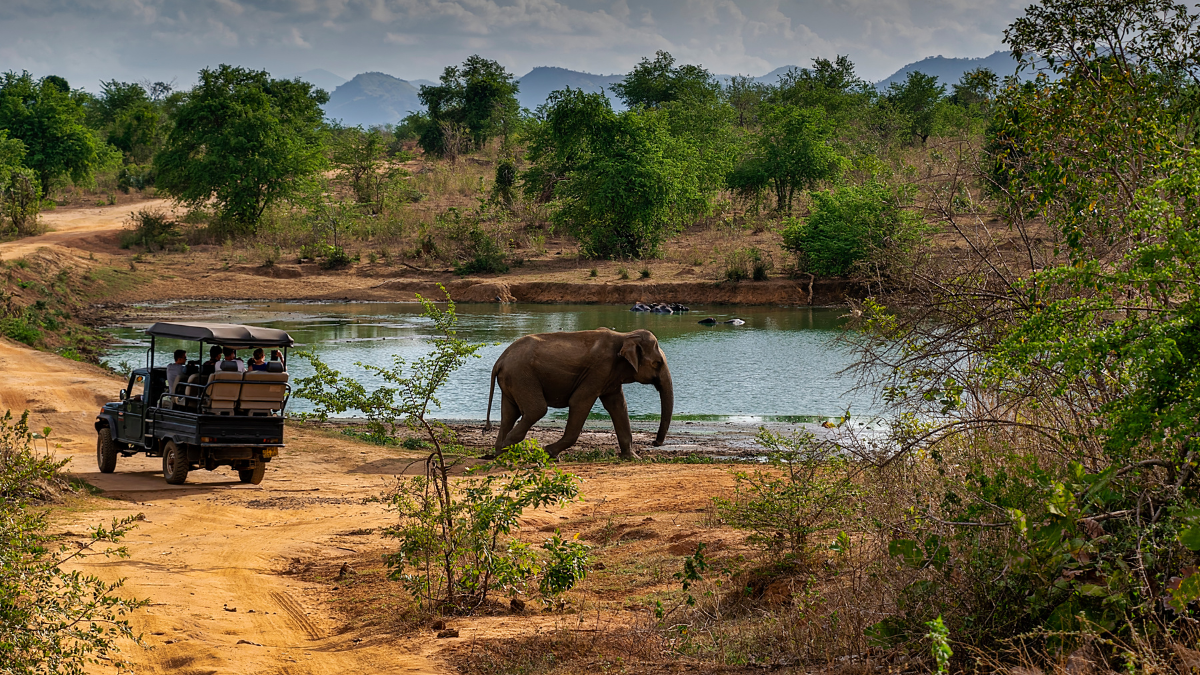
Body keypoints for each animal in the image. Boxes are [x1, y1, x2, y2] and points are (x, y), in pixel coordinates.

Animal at [484, 328, 674, 459]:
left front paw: (632, 458)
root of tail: (499, 361)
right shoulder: (599, 370)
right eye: (657, 363)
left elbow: (618, 406)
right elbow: (579, 401)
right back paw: (510, 451)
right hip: (522, 377)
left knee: (509, 414)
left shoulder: (610, 376)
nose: (654, 442)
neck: (625, 335)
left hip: (513, 379)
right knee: (536, 410)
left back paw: (499, 452)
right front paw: (549, 452)